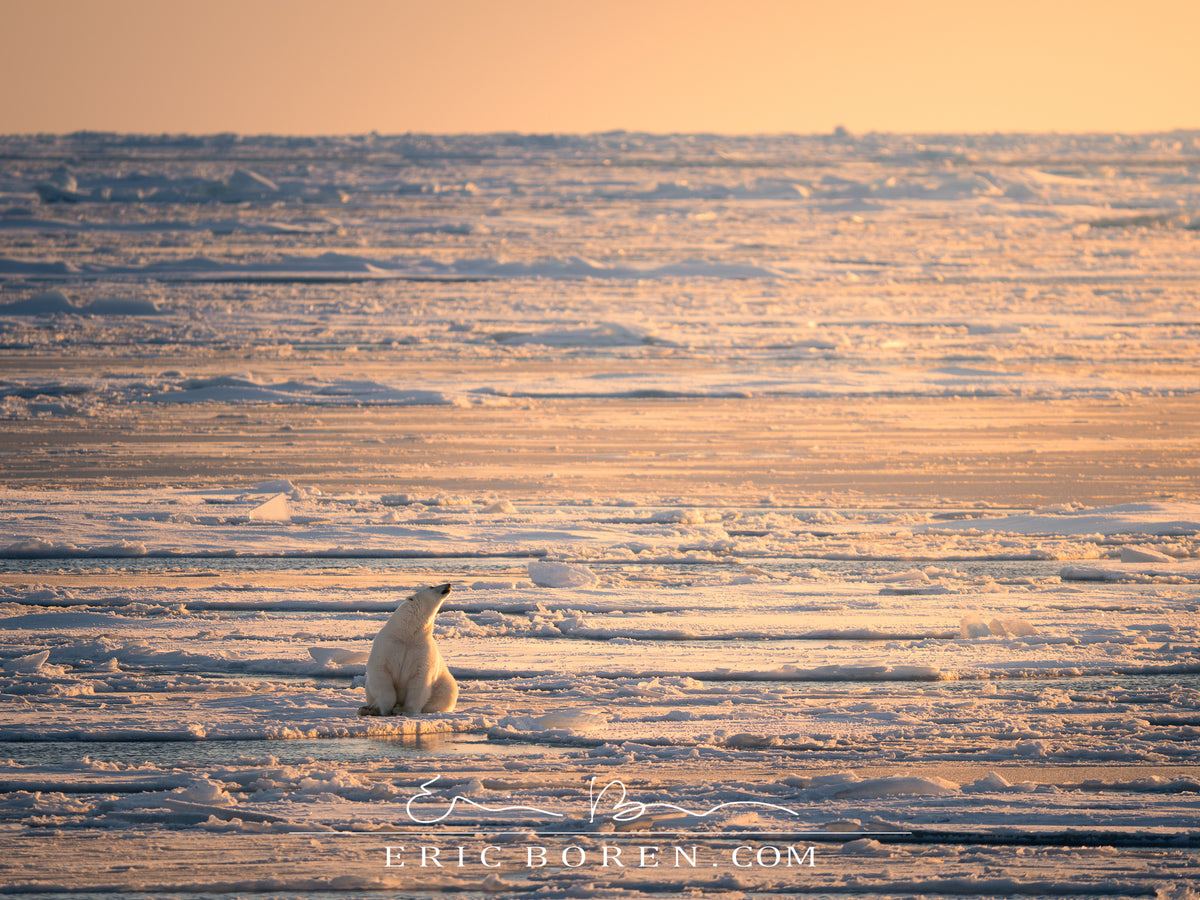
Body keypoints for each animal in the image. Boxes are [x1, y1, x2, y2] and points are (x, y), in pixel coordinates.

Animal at [358, 582, 458, 716]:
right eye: (431, 587)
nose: (448, 584)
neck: (407, 635)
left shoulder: (421, 650)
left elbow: (420, 680)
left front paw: (402, 710)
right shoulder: (387, 645)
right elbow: (380, 671)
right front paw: (385, 708)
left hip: (444, 683)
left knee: (443, 695)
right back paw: (366, 709)